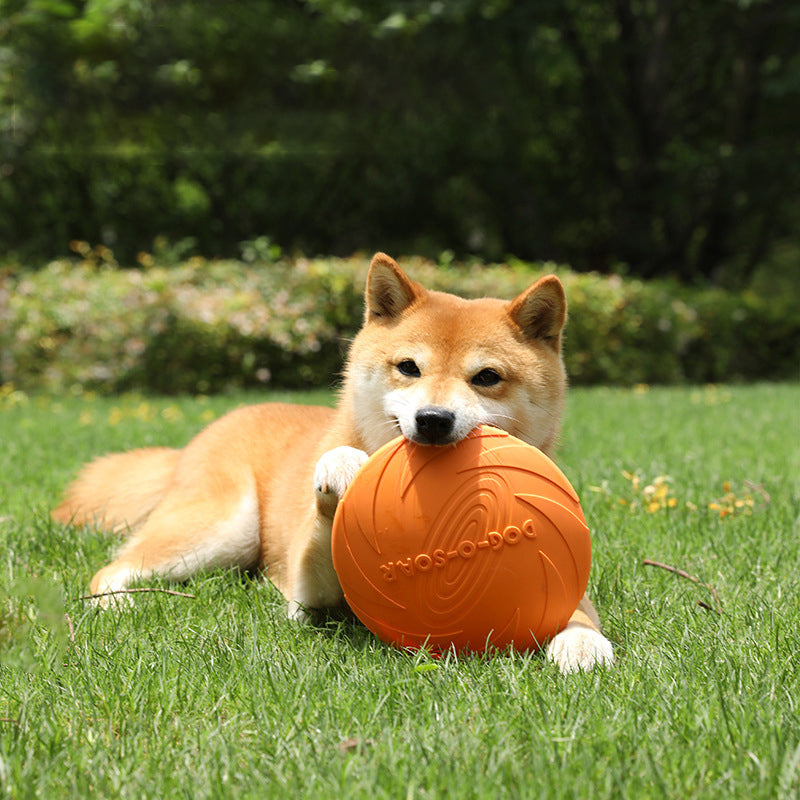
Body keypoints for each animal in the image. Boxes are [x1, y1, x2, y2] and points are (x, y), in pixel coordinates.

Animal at [54, 253, 612, 672]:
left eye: (487, 377)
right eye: (409, 367)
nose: (433, 419)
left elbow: (579, 609)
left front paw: (582, 642)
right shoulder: (309, 594)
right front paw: (341, 467)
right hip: (224, 528)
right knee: (113, 567)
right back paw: (117, 601)